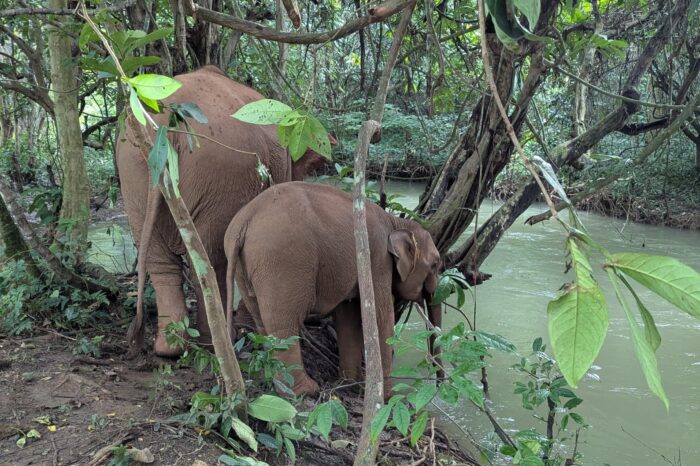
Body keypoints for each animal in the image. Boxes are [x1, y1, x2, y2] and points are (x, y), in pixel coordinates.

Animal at [118, 66, 328, 357]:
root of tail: (165, 123)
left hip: (134, 172)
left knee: (160, 260)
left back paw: (170, 348)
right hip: (220, 173)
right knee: (213, 261)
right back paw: (218, 341)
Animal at [223, 181, 442, 396]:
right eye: (435, 264)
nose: (439, 383)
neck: (396, 222)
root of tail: (244, 221)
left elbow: (349, 317)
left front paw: (352, 385)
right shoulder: (377, 260)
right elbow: (381, 317)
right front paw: (388, 396)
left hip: (245, 270)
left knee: (261, 320)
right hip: (282, 263)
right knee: (284, 324)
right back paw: (305, 391)